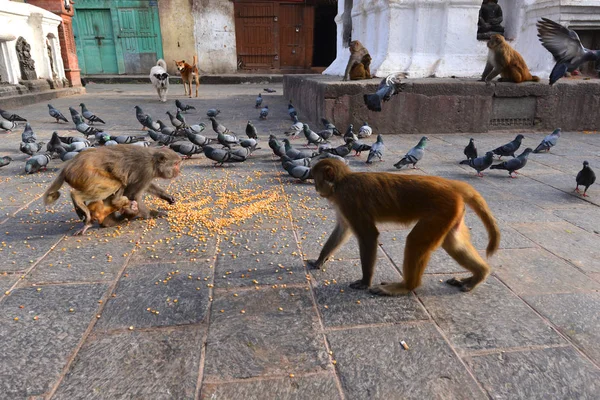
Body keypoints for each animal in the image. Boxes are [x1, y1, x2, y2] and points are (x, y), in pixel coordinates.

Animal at [42, 145, 180, 234]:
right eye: (175, 164)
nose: (178, 171)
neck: (153, 161)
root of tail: (67, 167)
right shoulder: (146, 170)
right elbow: (133, 194)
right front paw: (152, 214)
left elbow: (144, 187)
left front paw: (167, 197)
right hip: (87, 175)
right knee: (115, 184)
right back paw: (77, 198)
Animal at [308, 158, 500, 296]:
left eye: (315, 178)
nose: (316, 188)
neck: (341, 182)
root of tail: (450, 185)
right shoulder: (343, 205)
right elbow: (343, 230)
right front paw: (320, 259)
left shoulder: (348, 200)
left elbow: (368, 235)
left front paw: (365, 281)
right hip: (451, 213)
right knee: (453, 244)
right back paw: (479, 275)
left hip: (442, 209)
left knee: (416, 241)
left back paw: (406, 286)